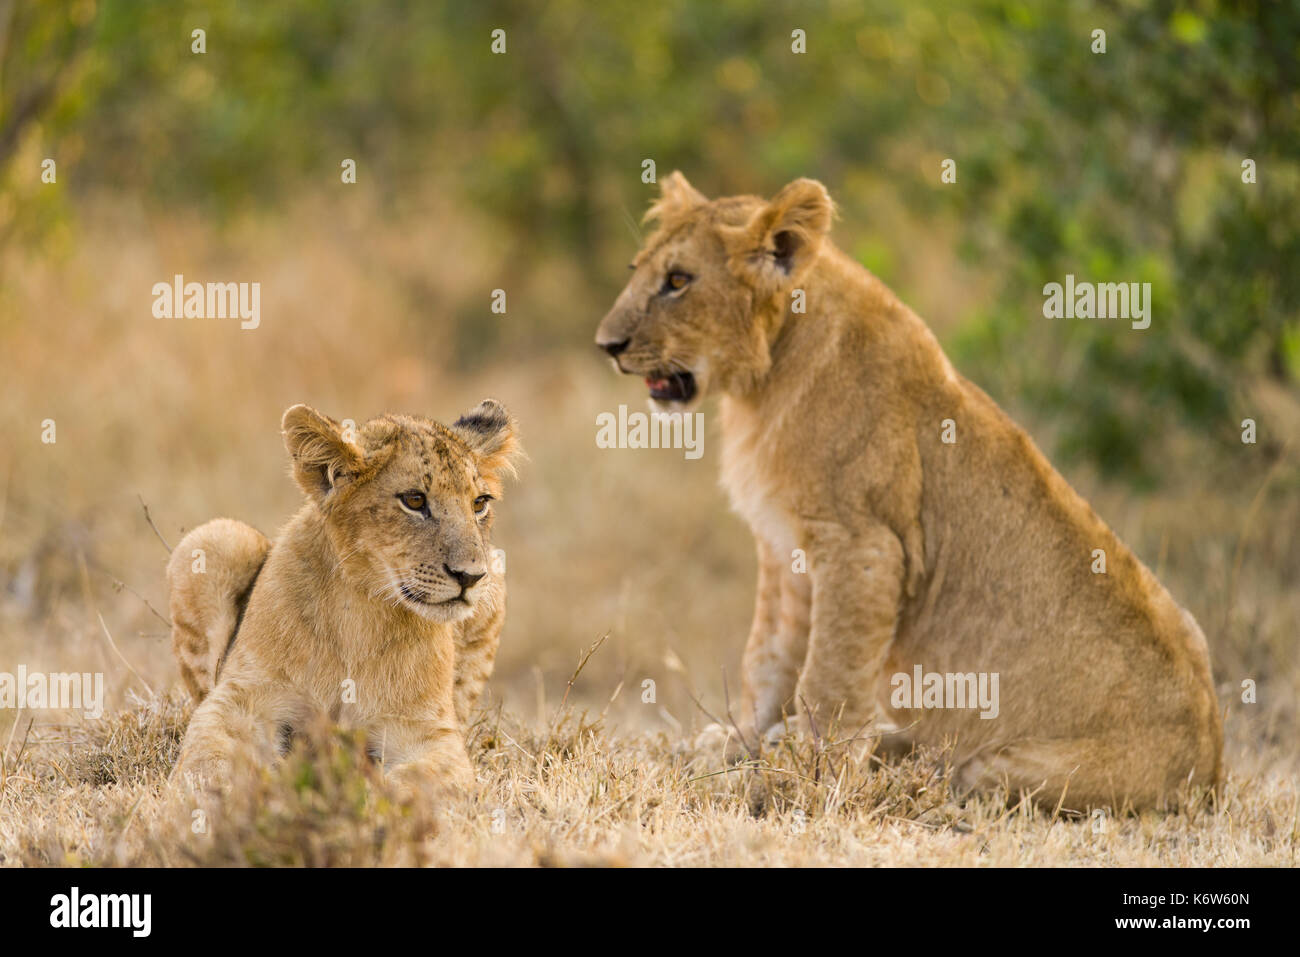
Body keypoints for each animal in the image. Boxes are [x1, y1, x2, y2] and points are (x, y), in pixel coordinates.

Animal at [167, 400, 520, 800]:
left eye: (479, 504)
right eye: (414, 500)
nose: (470, 577)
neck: (361, 607)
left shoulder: (429, 732)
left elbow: (419, 781)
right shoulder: (242, 697)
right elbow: (206, 753)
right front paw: (207, 796)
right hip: (214, 539)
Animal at [595, 172, 1222, 810]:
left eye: (678, 281)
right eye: (637, 269)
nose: (607, 345)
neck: (767, 375)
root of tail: (1214, 763)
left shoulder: (864, 544)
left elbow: (828, 675)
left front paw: (799, 777)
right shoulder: (783, 546)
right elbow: (767, 658)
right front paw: (738, 743)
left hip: (1009, 772)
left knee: (959, 772)